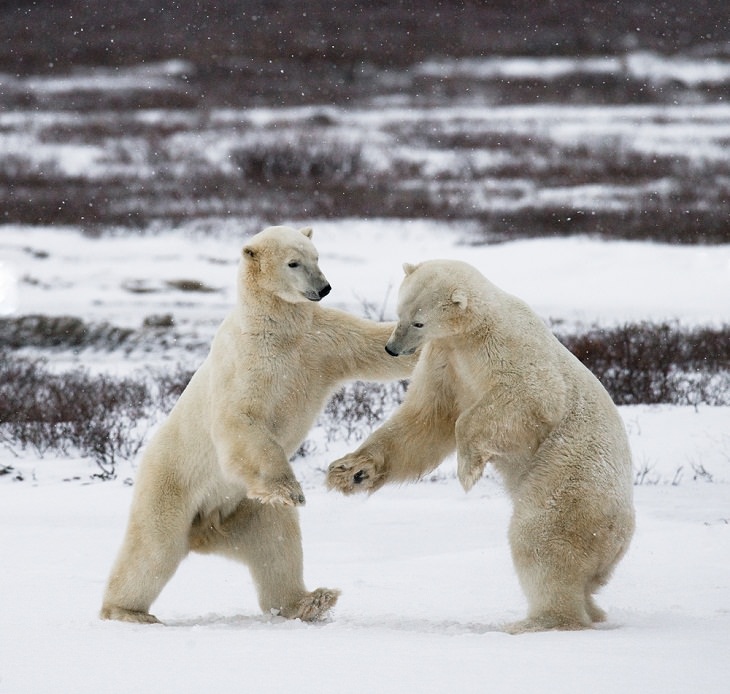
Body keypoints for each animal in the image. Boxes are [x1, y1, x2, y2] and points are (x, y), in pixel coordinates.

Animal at [100, 227, 416, 624]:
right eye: (293, 263)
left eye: (316, 256)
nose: (324, 287)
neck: (273, 326)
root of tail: (206, 530)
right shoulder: (246, 361)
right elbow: (240, 418)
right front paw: (289, 488)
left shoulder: (320, 339)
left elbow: (375, 347)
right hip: (170, 485)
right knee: (153, 547)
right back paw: (128, 611)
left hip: (246, 509)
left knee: (277, 545)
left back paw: (310, 600)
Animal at [328, 260, 636, 636]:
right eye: (398, 313)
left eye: (419, 321)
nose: (392, 349)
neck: (473, 331)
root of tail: (619, 539)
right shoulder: (445, 358)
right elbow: (425, 420)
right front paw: (351, 471)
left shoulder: (509, 348)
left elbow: (533, 398)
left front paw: (468, 468)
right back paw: (589, 608)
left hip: (570, 478)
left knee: (541, 535)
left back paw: (536, 621)